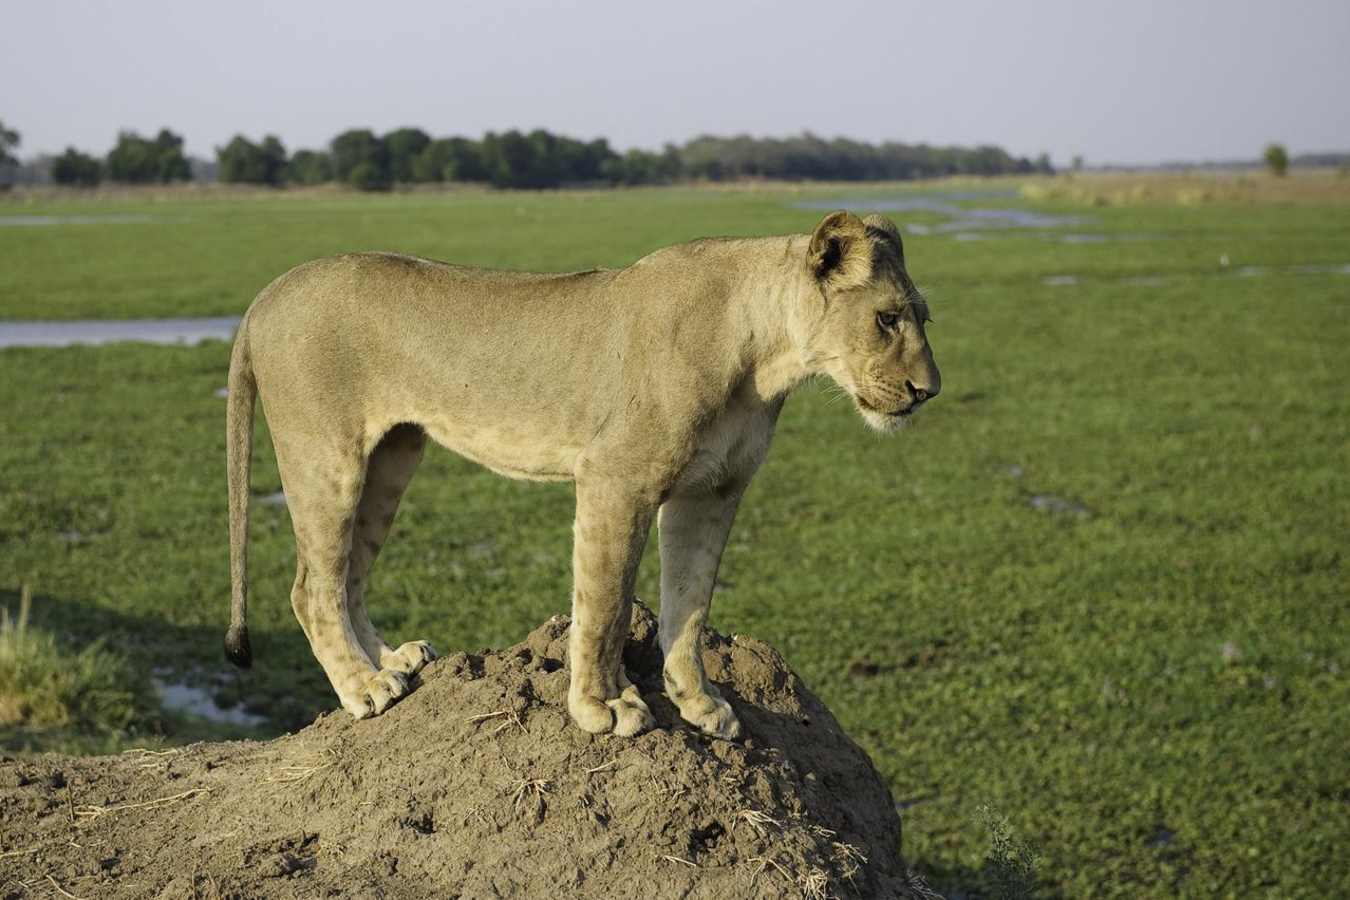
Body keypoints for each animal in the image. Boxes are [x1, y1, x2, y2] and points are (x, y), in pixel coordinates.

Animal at [224, 210, 940, 739]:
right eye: (886, 318)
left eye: (922, 319)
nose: (927, 391)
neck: (765, 355)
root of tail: (263, 297)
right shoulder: (615, 479)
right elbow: (605, 605)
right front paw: (604, 706)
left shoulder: (713, 492)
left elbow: (690, 604)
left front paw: (699, 702)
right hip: (326, 455)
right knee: (311, 587)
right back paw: (366, 688)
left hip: (393, 457)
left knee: (350, 573)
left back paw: (393, 662)